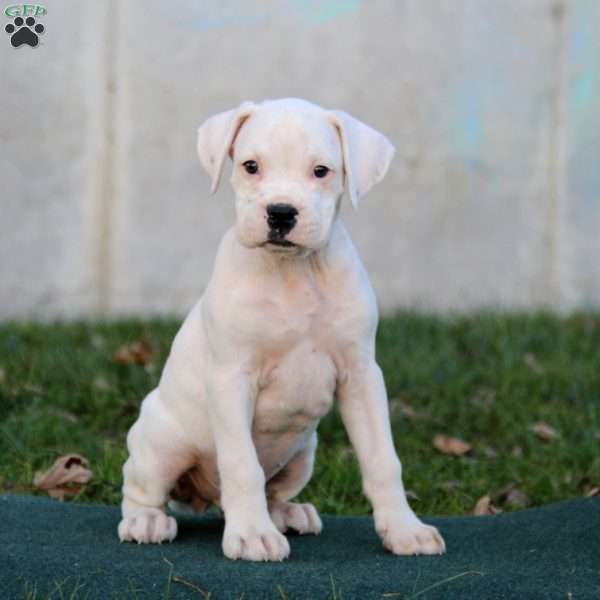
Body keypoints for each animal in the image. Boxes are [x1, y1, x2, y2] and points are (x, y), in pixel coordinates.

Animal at [117, 96, 446, 560]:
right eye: (251, 166)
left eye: (321, 171)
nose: (281, 213)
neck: (294, 272)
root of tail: (204, 498)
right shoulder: (231, 379)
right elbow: (241, 464)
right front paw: (252, 535)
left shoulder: (361, 376)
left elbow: (383, 459)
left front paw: (404, 529)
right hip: (162, 441)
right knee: (140, 486)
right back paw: (146, 521)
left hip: (303, 452)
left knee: (273, 490)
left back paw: (288, 513)